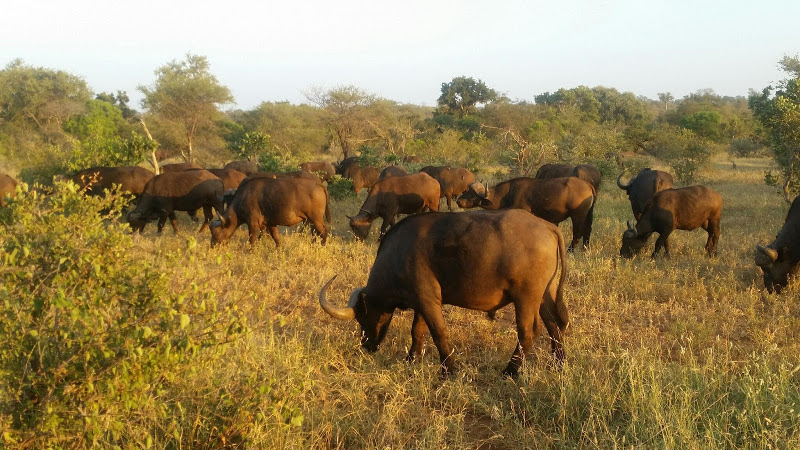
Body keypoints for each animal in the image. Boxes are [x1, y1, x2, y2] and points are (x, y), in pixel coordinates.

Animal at [318, 209, 568, 378]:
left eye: (362, 315)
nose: (367, 345)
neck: (398, 253)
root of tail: (548, 226)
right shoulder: (420, 302)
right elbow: (417, 331)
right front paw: (412, 359)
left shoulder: (429, 300)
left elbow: (438, 332)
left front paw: (448, 369)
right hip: (544, 296)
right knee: (554, 325)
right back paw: (558, 363)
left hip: (525, 298)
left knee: (528, 332)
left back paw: (510, 371)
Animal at [456, 176, 592, 251]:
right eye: (466, 191)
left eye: (471, 194)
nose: (458, 201)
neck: (508, 194)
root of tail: (588, 185)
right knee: (587, 230)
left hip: (578, 215)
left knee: (578, 233)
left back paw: (570, 250)